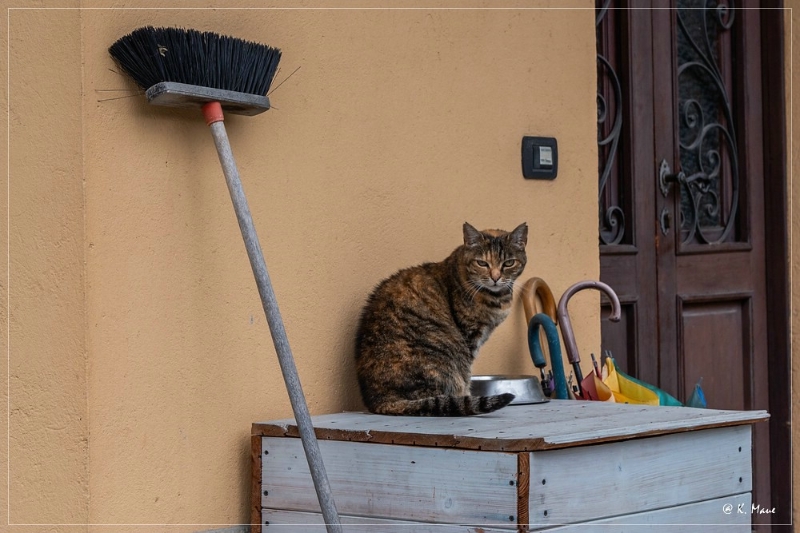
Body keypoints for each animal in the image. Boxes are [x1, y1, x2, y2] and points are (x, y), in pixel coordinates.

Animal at [354, 221, 528, 416]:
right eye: (482, 263)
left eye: (509, 263)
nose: (496, 277)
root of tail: (379, 401)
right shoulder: (470, 339)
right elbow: (467, 376)